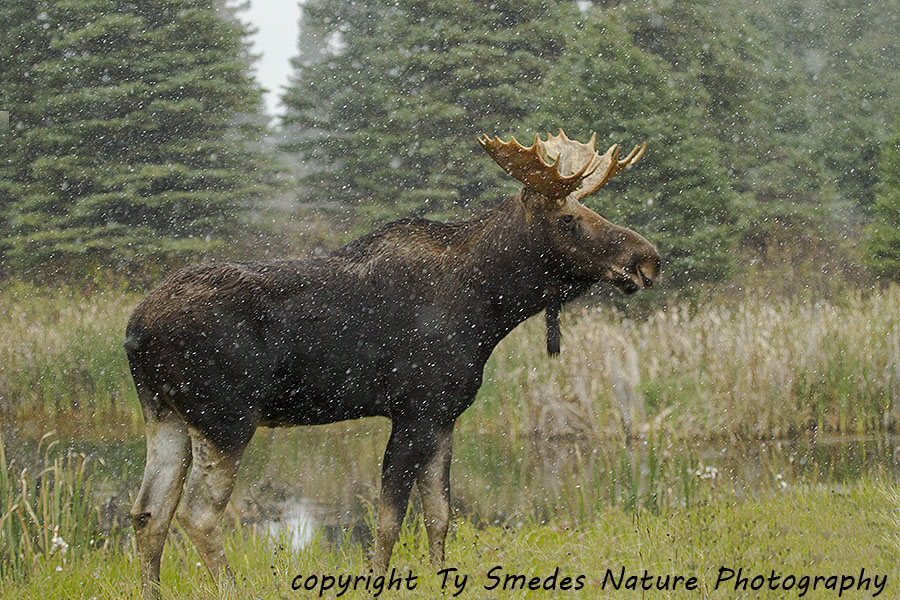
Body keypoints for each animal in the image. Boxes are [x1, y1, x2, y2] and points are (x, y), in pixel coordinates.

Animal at [124, 129, 659, 599]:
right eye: (569, 219)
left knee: (148, 512)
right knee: (198, 515)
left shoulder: (443, 416)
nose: (647, 259)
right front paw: (376, 582)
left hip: (165, 416)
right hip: (225, 419)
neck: (487, 309)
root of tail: (134, 329)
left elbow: (439, 515)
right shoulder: (414, 411)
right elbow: (388, 521)